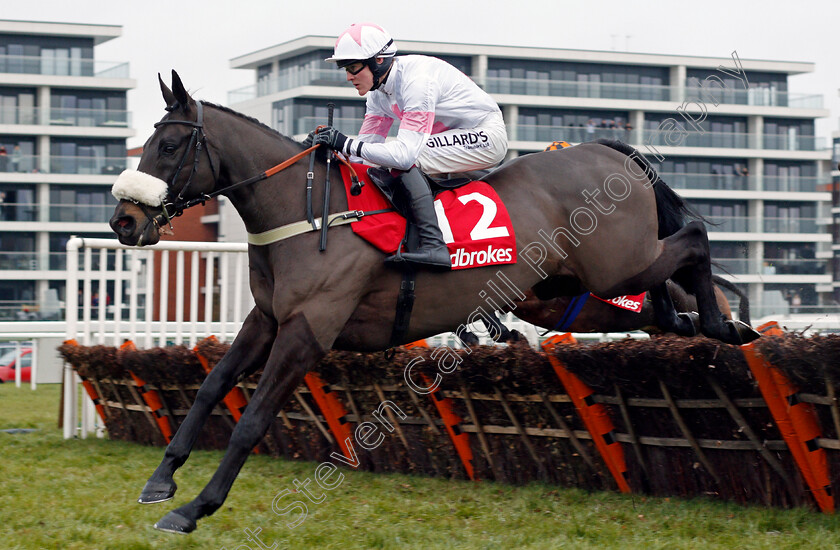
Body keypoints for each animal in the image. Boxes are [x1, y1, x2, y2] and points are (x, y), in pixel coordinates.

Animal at [108, 73, 756, 536]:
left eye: (169, 145)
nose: (124, 221)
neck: (304, 210)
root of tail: (610, 152)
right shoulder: (267, 319)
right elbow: (212, 387)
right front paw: (161, 480)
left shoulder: (310, 329)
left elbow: (251, 420)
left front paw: (195, 508)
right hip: (581, 287)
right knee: (666, 289)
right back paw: (706, 321)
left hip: (614, 265)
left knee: (694, 235)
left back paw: (727, 321)